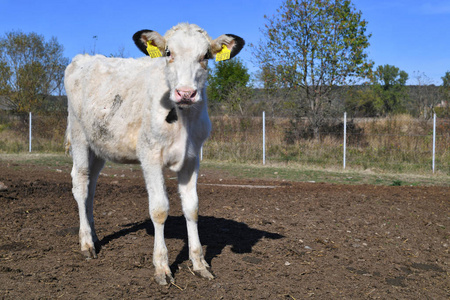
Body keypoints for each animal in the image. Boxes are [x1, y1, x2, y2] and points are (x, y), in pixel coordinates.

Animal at [64, 22, 243, 284]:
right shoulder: (149, 156)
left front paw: (199, 263)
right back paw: (86, 243)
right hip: (79, 136)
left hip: (99, 147)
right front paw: (162, 267)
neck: (183, 119)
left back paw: (95, 237)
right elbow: (159, 210)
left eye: (205, 56)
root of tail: (83, 58)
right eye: (168, 52)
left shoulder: (192, 158)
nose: (186, 93)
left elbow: (192, 208)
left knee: (91, 187)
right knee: (80, 184)